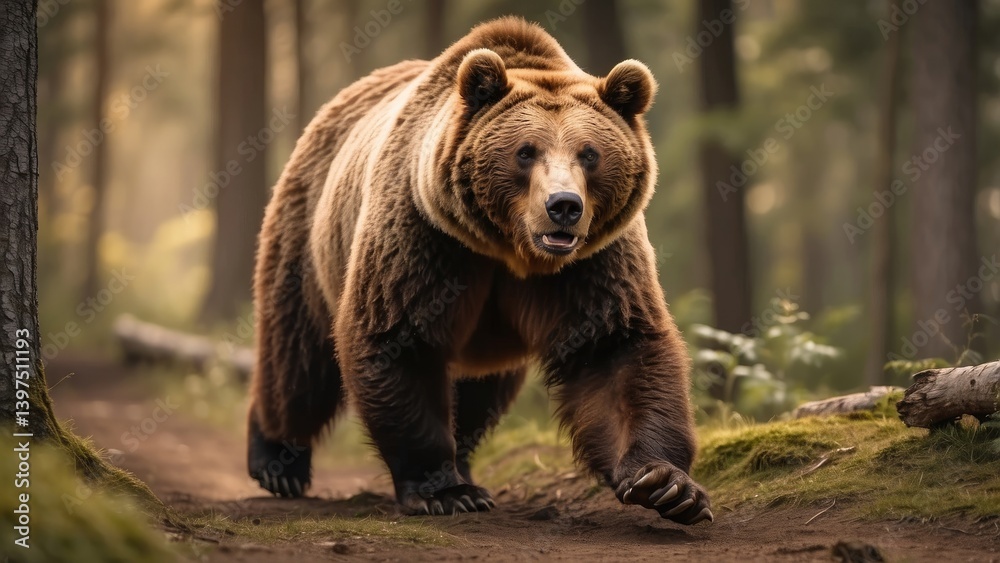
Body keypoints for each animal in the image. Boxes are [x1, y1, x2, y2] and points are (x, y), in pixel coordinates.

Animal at [247, 16, 712, 525]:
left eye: (589, 153)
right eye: (525, 151)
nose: (564, 206)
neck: (508, 250)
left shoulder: (592, 261)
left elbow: (615, 347)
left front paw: (666, 484)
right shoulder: (424, 236)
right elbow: (398, 335)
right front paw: (444, 491)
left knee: (479, 398)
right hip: (307, 234)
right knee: (297, 360)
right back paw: (276, 461)